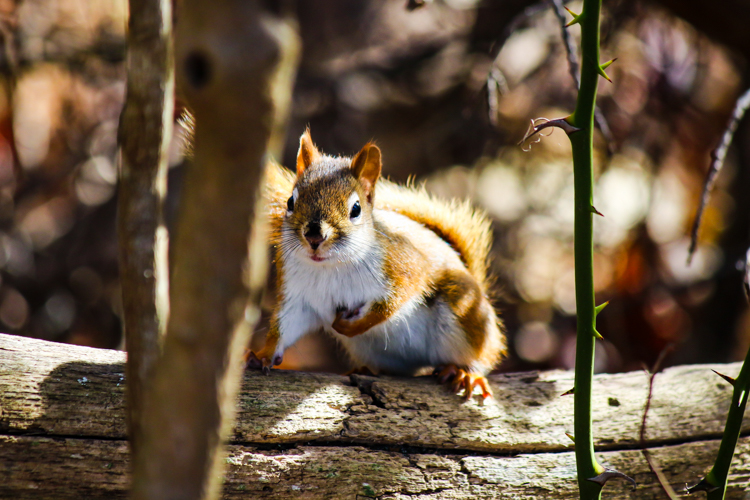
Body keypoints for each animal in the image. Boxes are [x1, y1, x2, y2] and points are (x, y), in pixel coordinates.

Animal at [250, 130, 508, 402]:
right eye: (290, 202)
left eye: (355, 209)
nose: (314, 237)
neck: (330, 266)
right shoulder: (297, 296)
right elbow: (285, 327)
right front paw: (262, 355)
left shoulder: (405, 265)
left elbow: (393, 302)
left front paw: (353, 325)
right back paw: (367, 370)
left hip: (463, 311)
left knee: (481, 355)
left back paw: (465, 373)